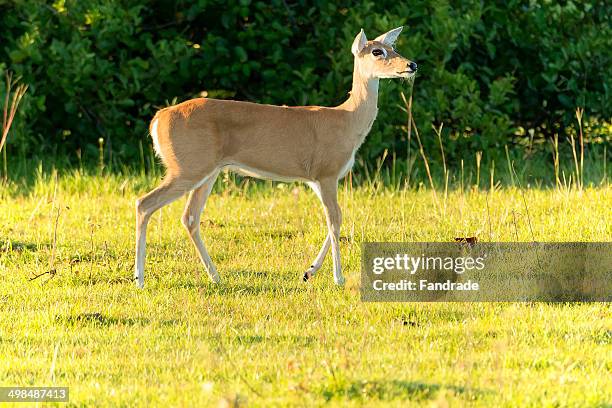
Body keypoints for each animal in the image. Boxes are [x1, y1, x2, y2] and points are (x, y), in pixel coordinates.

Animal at [135, 27, 416, 288]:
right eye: (377, 51)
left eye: (393, 47)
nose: (411, 65)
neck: (347, 120)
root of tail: (158, 119)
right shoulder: (326, 171)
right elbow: (334, 220)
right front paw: (339, 278)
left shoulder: (317, 179)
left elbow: (336, 218)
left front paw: (309, 271)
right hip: (187, 166)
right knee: (144, 203)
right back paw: (139, 278)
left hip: (206, 170)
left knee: (190, 217)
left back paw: (215, 277)